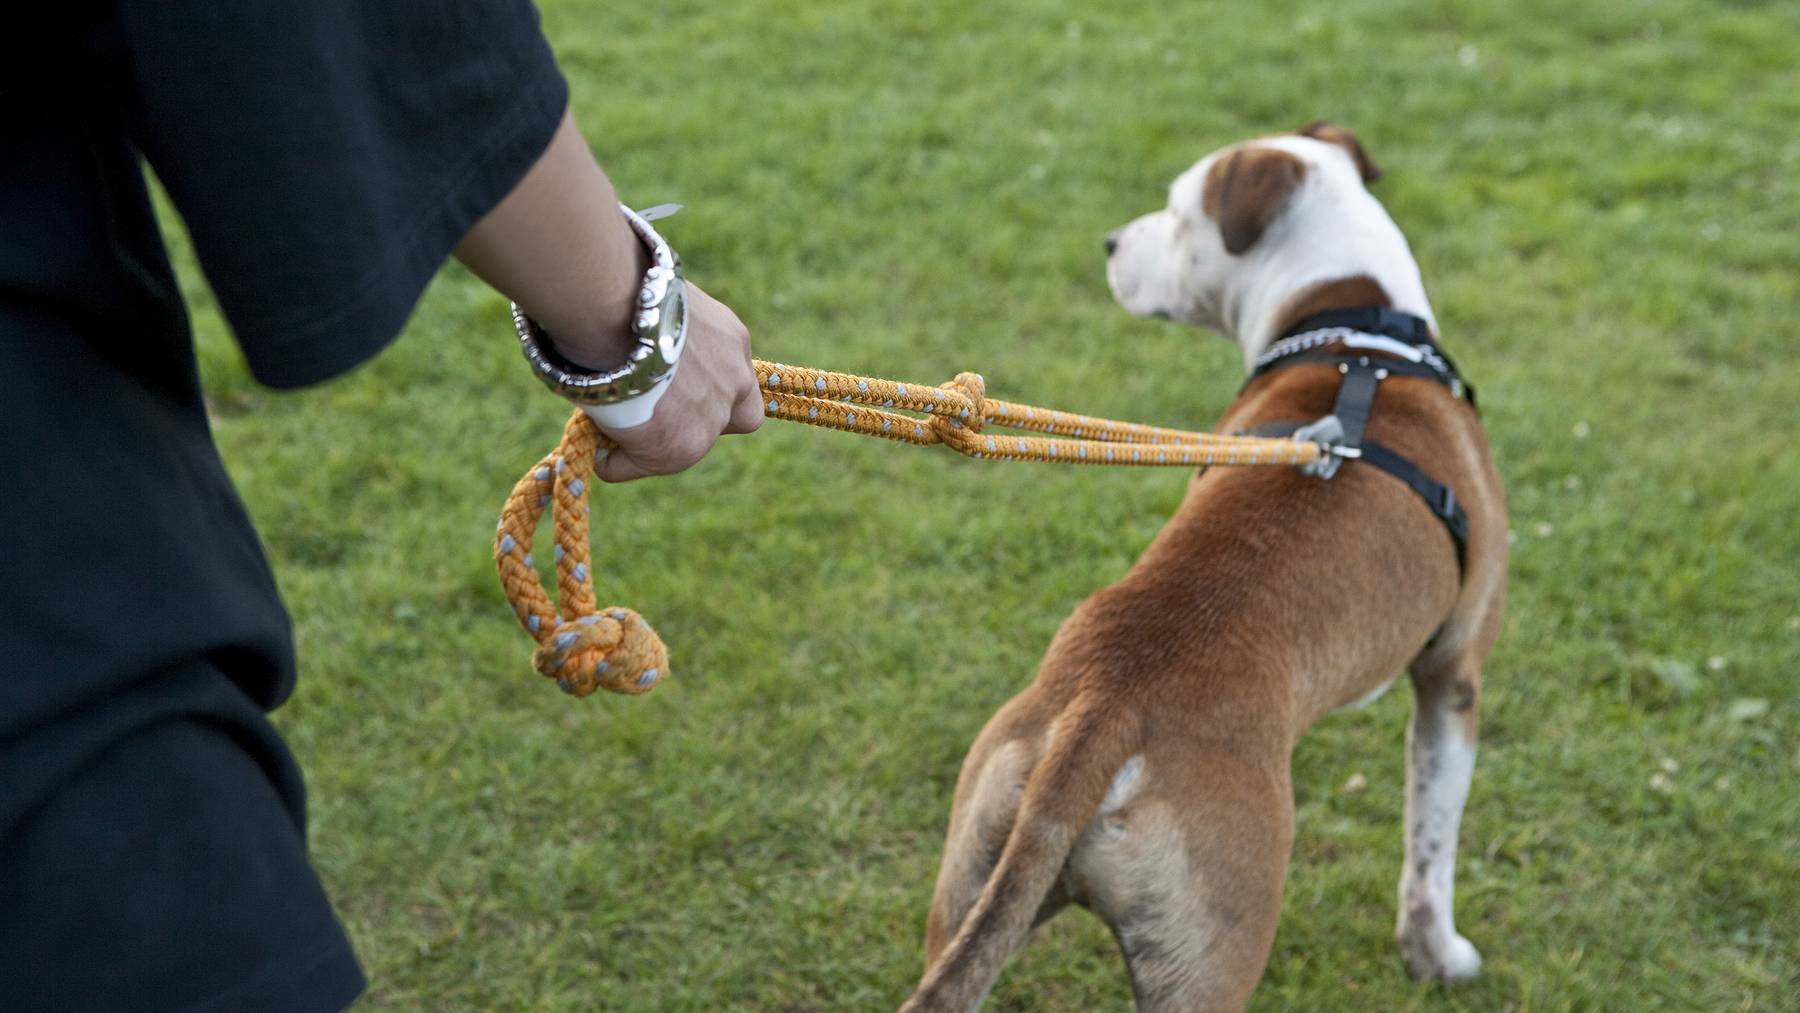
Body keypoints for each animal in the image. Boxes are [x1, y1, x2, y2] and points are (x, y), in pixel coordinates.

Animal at [900, 126, 1504, 1013]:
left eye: (1178, 215)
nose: (1110, 242)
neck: (1353, 332)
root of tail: (1104, 711)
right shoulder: (1452, 674)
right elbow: (1432, 842)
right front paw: (1440, 956)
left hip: (976, 871)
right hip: (1216, 945)